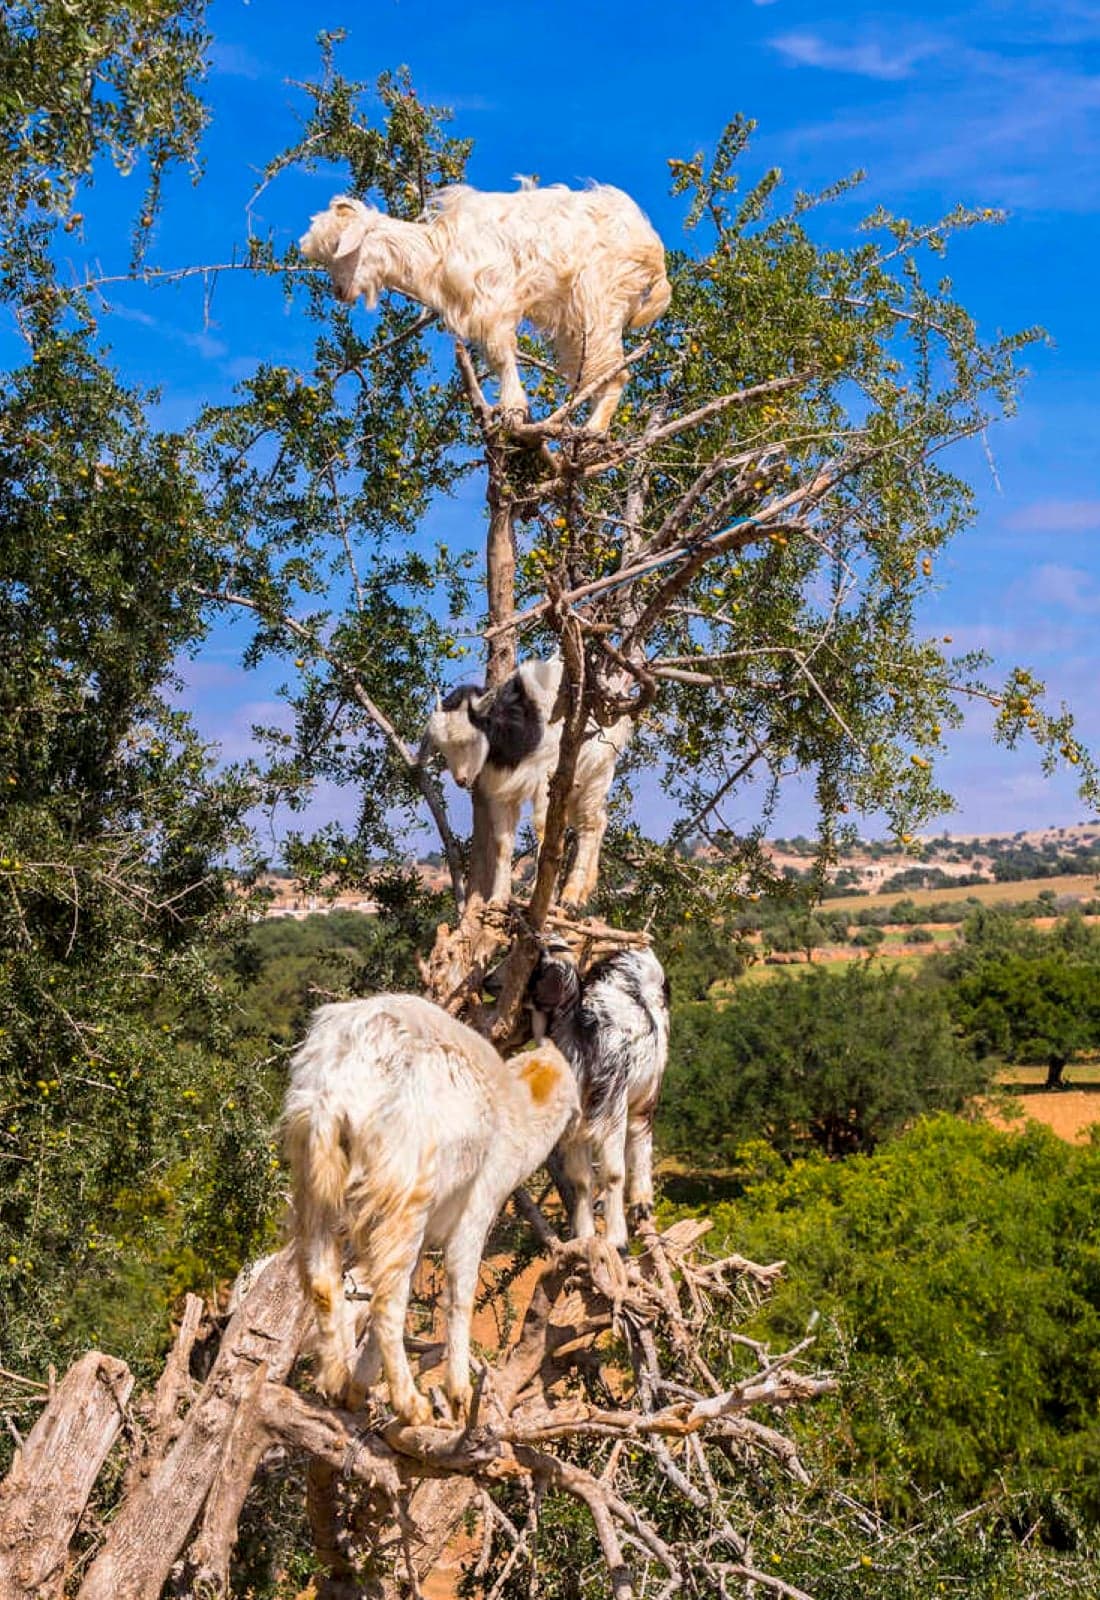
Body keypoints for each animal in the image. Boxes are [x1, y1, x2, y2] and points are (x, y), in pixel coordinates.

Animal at [282, 994, 578, 1424]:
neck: (519, 1115)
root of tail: (339, 1084)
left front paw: (358, 1388)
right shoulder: (478, 1207)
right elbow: (460, 1293)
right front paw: (459, 1396)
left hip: (315, 1181)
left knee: (324, 1283)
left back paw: (336, 1384)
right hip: (406, 1193)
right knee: (386, 1300)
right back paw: (412, 1405)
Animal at [299, 182, 670, 432]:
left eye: (340, 246)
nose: (339, 291)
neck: (439, 250)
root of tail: (653, 250)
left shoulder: (494, 302)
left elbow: (502, 355)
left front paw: (512, 410)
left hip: (600, 300)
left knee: (615, 371)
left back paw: (592, 433)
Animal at [425, 656, 632, 908]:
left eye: (468, 740)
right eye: (443, 748)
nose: (461, 780)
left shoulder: (547, 780)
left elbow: (543, 828)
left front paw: (540, 897)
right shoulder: (501, 791)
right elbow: (503, 844)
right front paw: (497, 899)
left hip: (599, 771)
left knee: (589, 825)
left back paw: (570, 896)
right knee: (599, 820)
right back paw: (583, 893)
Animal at [505, 942, 670, 1251]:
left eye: (537, 966)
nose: (489, 981)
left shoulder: (613, 1107)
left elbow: (614, 1173)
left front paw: (617, 1240)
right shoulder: (575, 1123)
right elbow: (581, 1179)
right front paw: (585, 1234)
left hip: (647, 1091)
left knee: (641, 1133)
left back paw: (642, 1201)